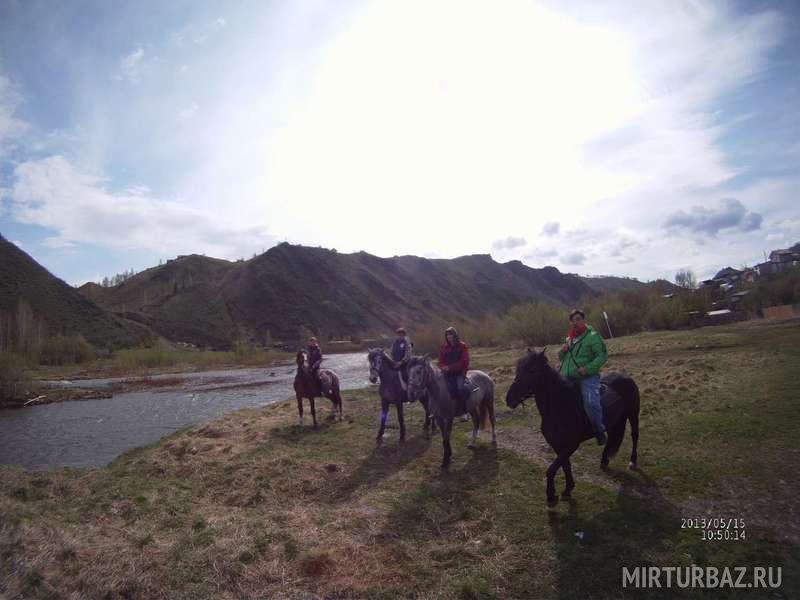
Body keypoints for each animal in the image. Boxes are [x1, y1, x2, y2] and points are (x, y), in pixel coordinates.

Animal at [506, 346, 644, 506]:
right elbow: (565, 466)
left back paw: (632, 461)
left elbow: (551, 469)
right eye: (518, 369)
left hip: (633, 414)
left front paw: (551, 496)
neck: (561, 406)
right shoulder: (557, 444)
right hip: (614, 421)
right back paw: (604, 460)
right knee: (611, 438)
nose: (509, 399)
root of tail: (625, 377)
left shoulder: (571, 445)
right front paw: (568, 489)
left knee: (634, 435)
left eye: (532, 370)